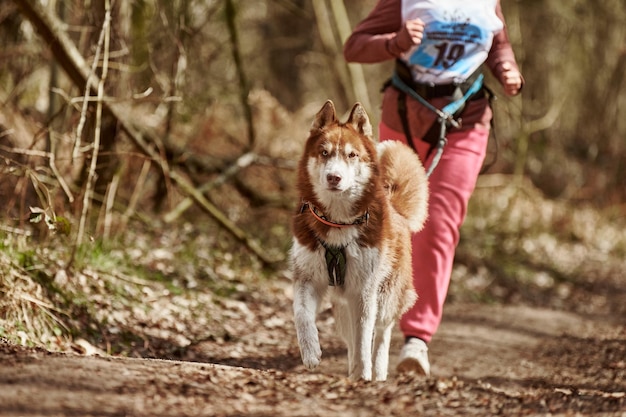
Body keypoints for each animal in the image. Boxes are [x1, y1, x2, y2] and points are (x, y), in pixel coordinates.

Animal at [288, 101, 426, 380]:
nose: (334, 177)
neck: (337, 222)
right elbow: (302, 315)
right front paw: (310, 352)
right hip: (342, 306)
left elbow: (365, 339)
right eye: (324, 152)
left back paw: (379, 372)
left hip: (385, 297)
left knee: (382, 332)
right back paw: (351, 371)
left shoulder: (364, 291)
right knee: (350, 337)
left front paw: (365, 374)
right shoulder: (307, 277)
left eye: (351, 155)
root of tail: (397, 210)